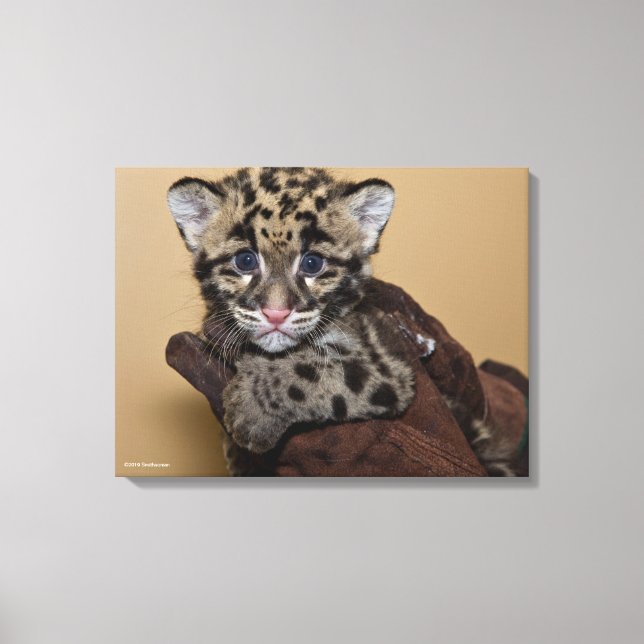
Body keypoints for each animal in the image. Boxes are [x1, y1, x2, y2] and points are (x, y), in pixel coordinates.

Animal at [166, 167, 424, 455]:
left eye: (312, 263)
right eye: (245, 260)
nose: (276, 313)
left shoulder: (387, 361)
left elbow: (319, 371)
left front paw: (252, 409)